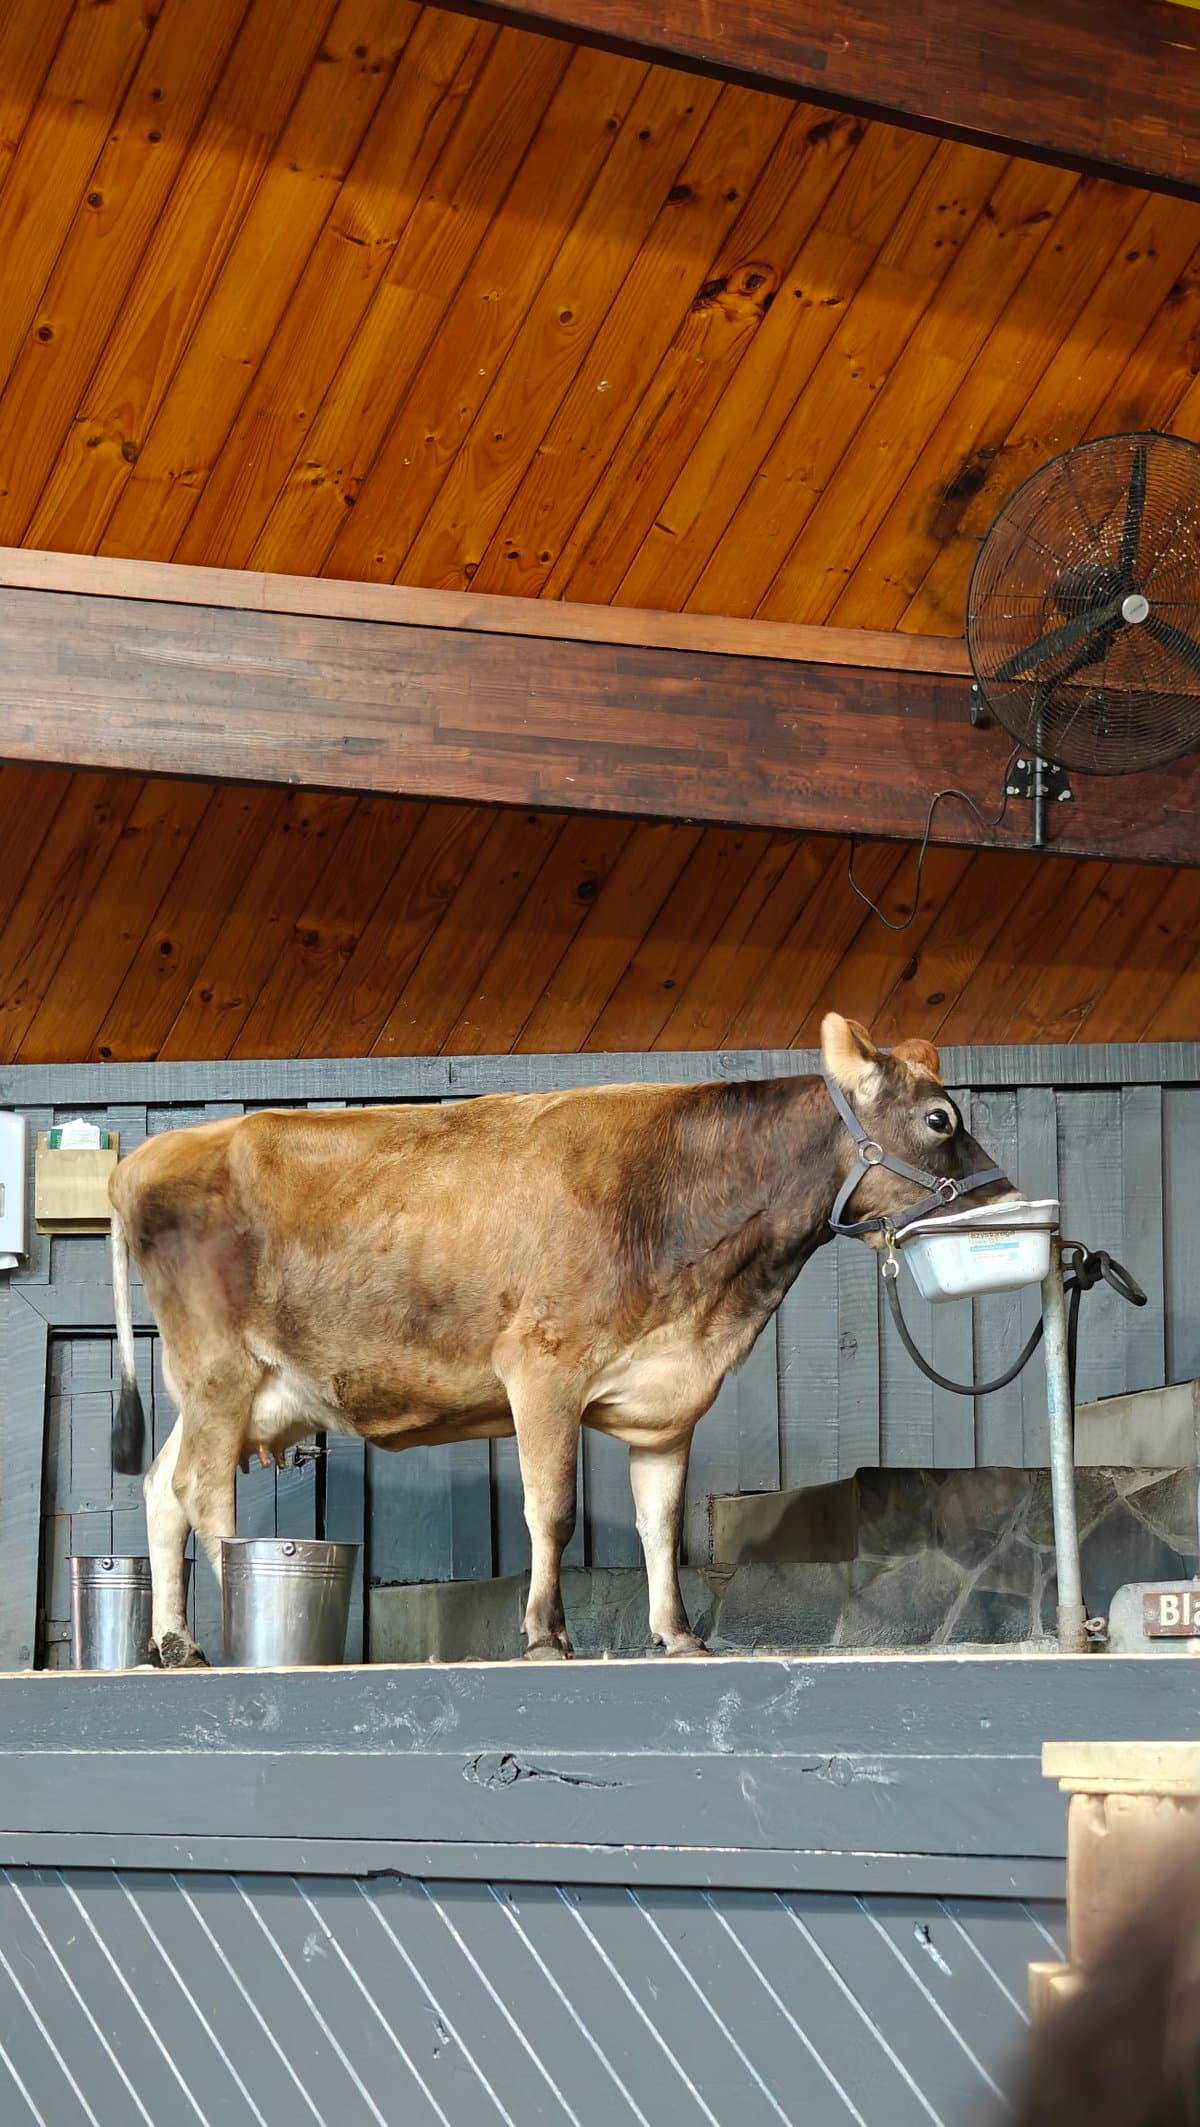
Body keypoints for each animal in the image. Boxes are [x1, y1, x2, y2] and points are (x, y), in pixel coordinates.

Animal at [108, 1014, 1014, 1667]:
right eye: (940, 1117)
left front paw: (679, 1634)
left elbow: (659, 1520)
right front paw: (547, 1632)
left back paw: (176, 1641)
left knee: (159, 1485)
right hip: (219, 1367)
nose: (1007, 1200)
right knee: (200, 1491)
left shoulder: (667, 1402)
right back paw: (236, 1632)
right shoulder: (542, 1367)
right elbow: (553, 1510)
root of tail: (150, 1152)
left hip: (238, 1387)